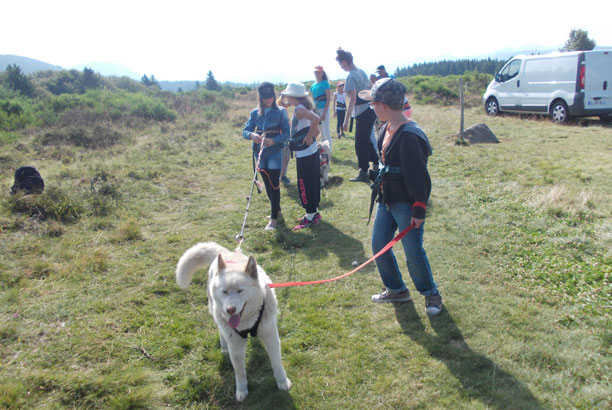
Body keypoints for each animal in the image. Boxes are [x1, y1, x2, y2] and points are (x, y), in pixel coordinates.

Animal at [176, 242, 292, 402]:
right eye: (224, 292)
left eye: (240, 291)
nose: (230, 310)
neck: (247, 321)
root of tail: (227, 253)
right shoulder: (236, 346)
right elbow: (239, 372)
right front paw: (242, 390)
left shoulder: (271, 337)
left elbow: (276, 363)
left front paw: (282, 382)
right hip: (215, 312)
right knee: (221, 331)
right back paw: (224, 347)